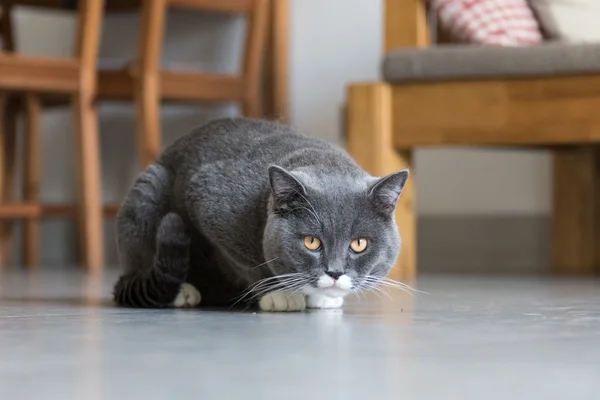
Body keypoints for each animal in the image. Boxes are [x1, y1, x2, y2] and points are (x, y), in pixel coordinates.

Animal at [113, 119, 408, 312]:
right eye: (312, 242)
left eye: (359, 244)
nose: (335, 272)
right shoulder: (207, 200)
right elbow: (249, 264)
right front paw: (280, 295)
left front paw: (322, 298)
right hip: (147, 192)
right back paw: (183, 292)